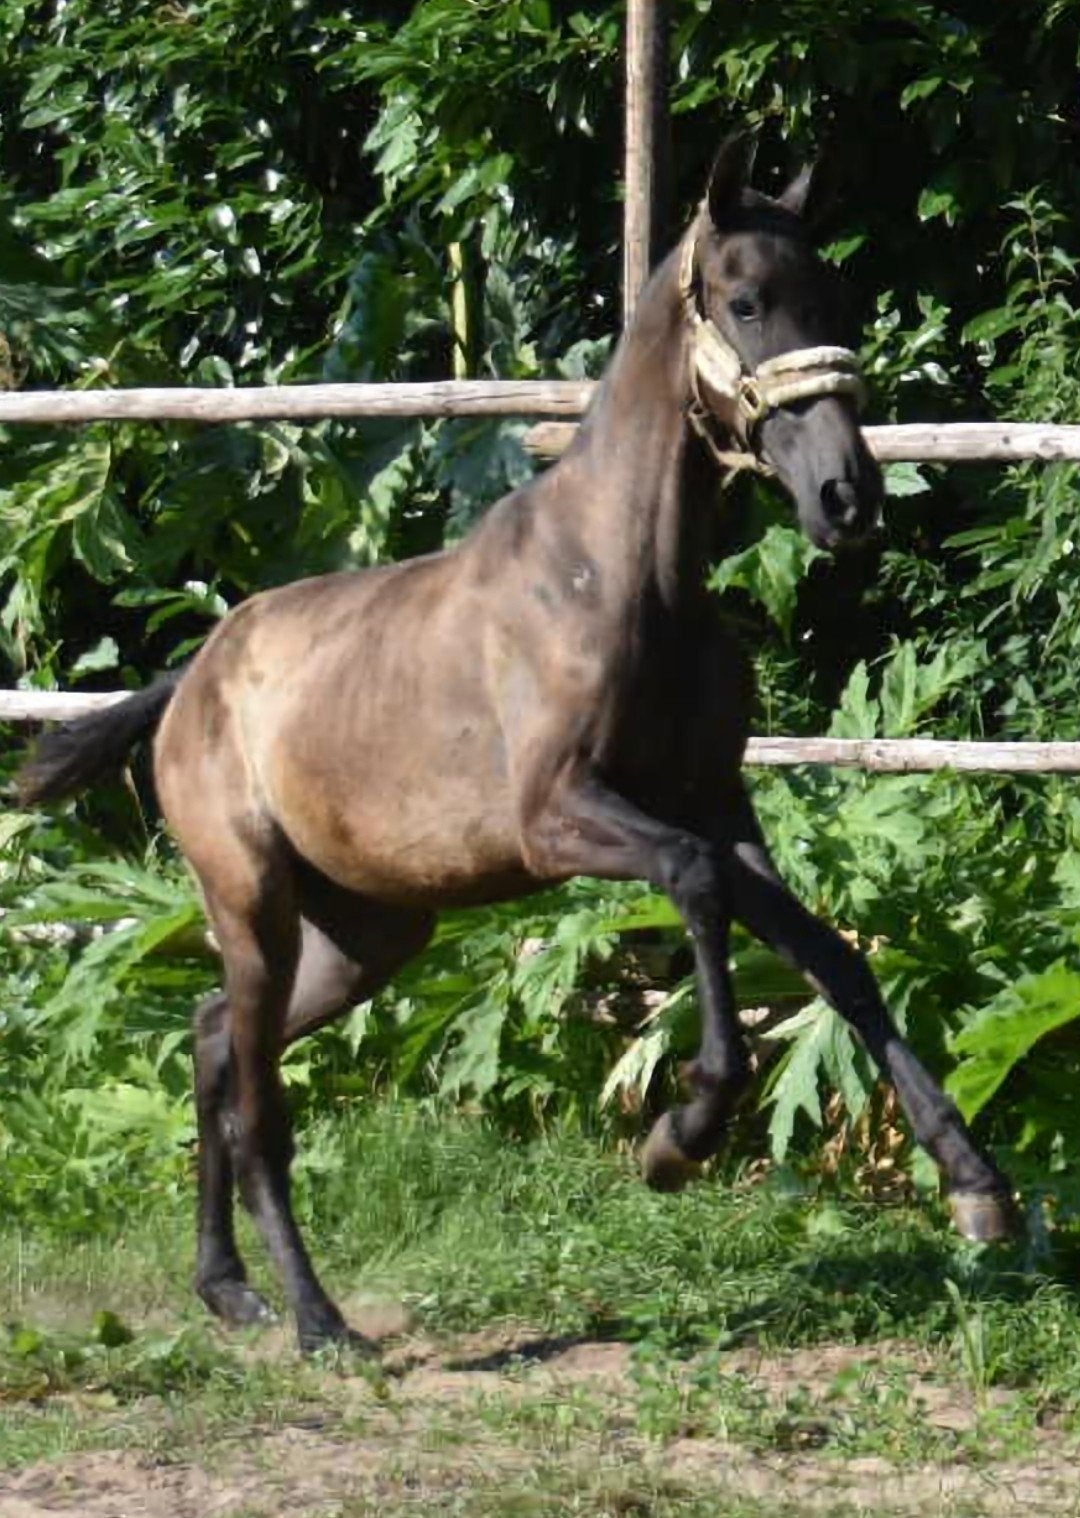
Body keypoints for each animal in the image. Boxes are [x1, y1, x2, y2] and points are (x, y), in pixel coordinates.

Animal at [17, 134, 1014, 1354]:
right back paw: (317, 1320)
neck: (624, 579)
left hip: (367, 934)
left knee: (211, 1040)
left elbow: (830, 953)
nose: (846, 496)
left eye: (833, 298)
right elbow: (695, 888)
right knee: (256, 1100)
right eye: (744, 300)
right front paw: (679, 1136)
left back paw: (230, 1291)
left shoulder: (714, 801)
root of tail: (191, 680)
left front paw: (977, 1187)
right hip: (251, 901)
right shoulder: (561, 819)